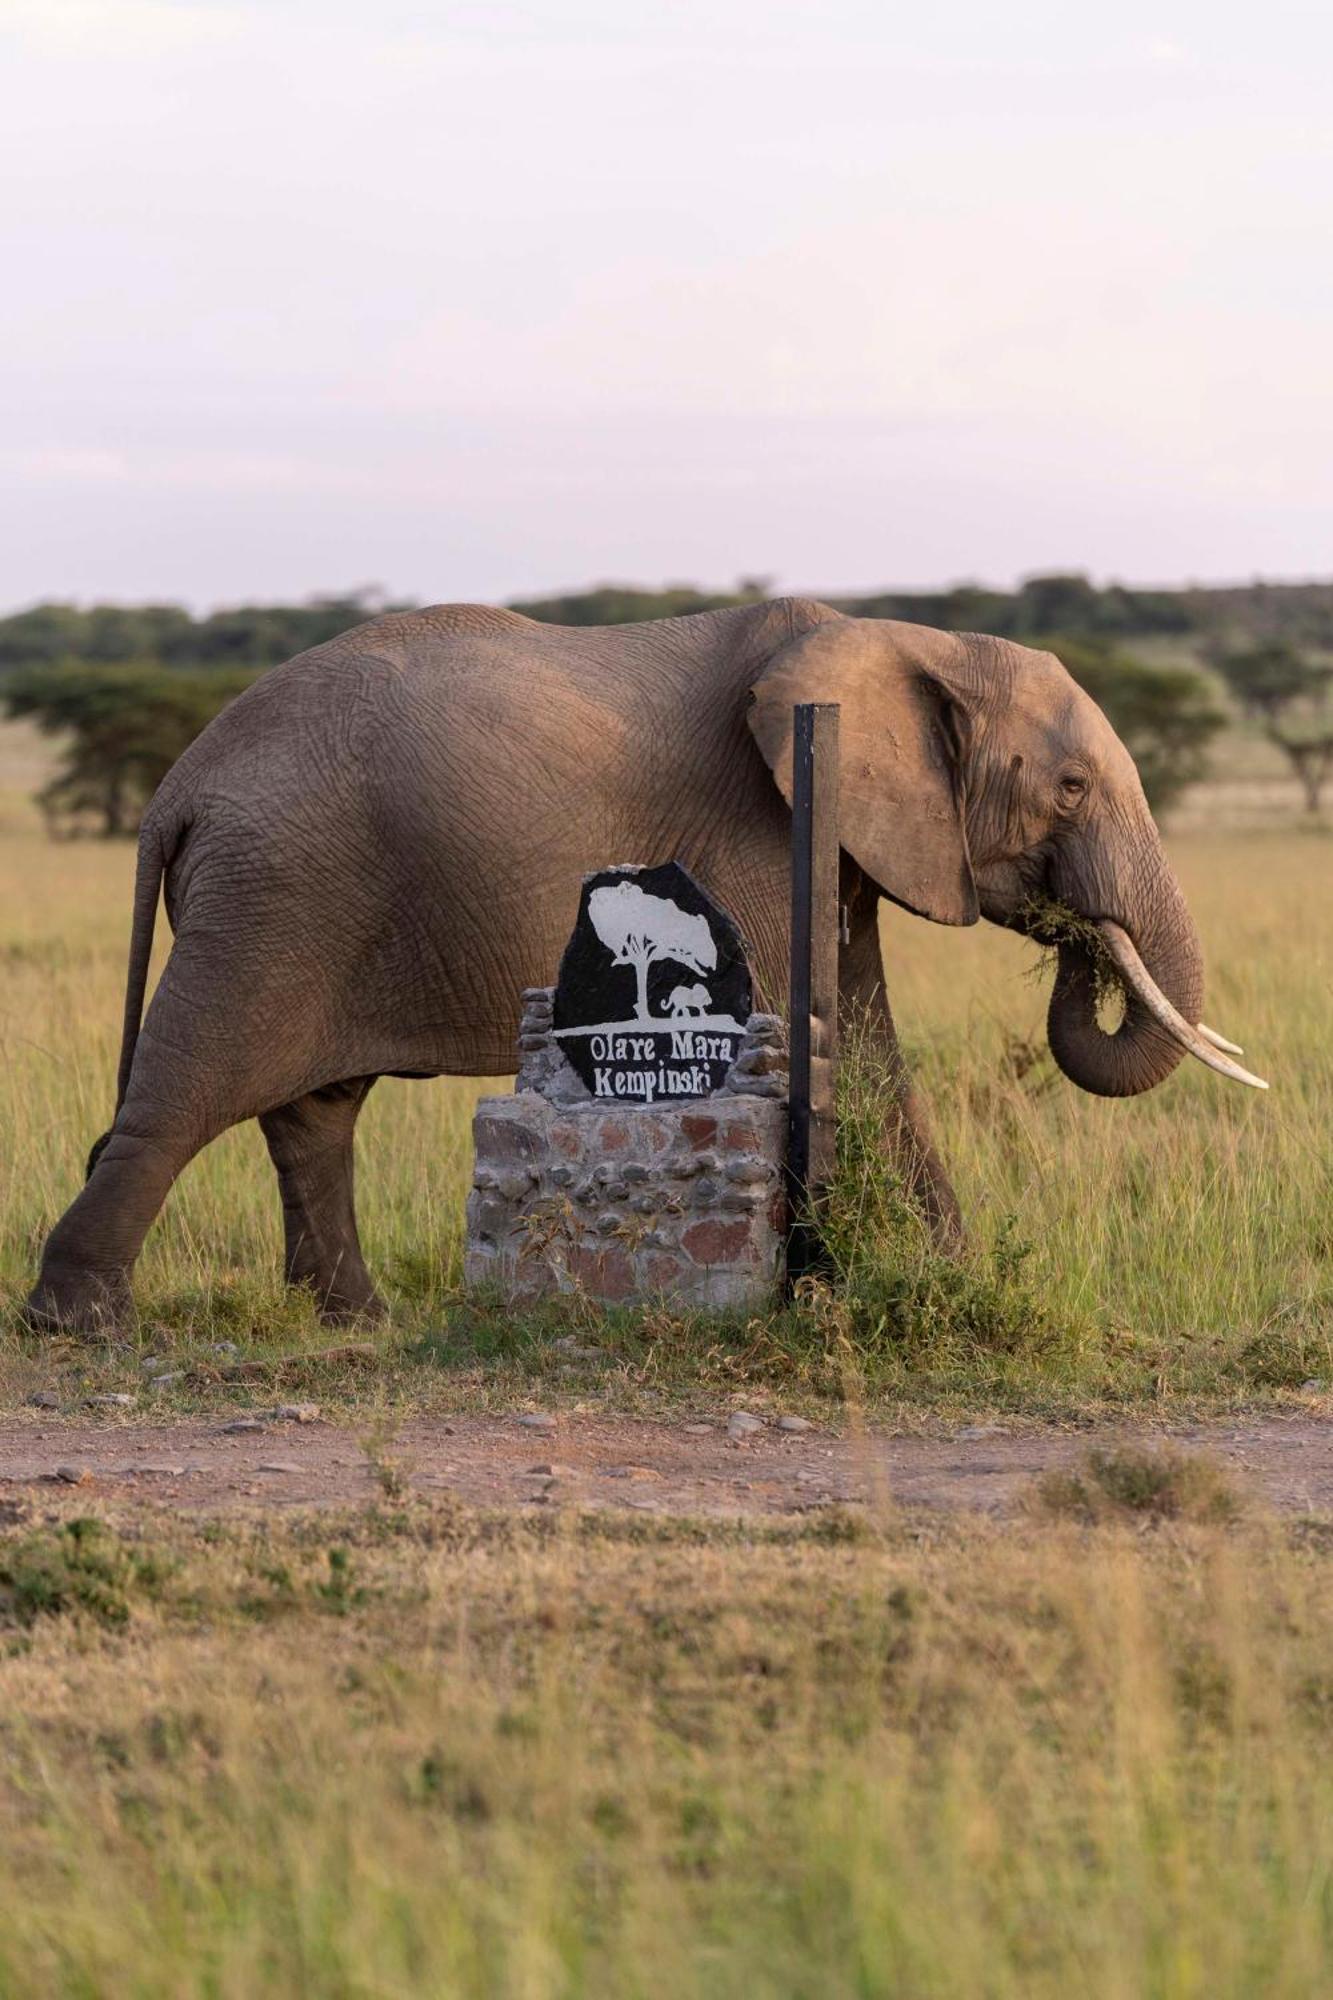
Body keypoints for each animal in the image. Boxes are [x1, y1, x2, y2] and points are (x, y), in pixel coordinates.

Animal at [26, 600, 1264, 1336]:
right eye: (1069, 791)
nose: (1076, 936)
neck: (900, 633)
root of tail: (177, 787)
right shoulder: (758, 837)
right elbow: (829, 1045)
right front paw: (920, 1290)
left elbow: (867, 1054)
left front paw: (958, 1284)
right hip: (271, 894)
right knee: (189, 1090)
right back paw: (80, 1323)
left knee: (313, 1108)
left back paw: (359, 1321)